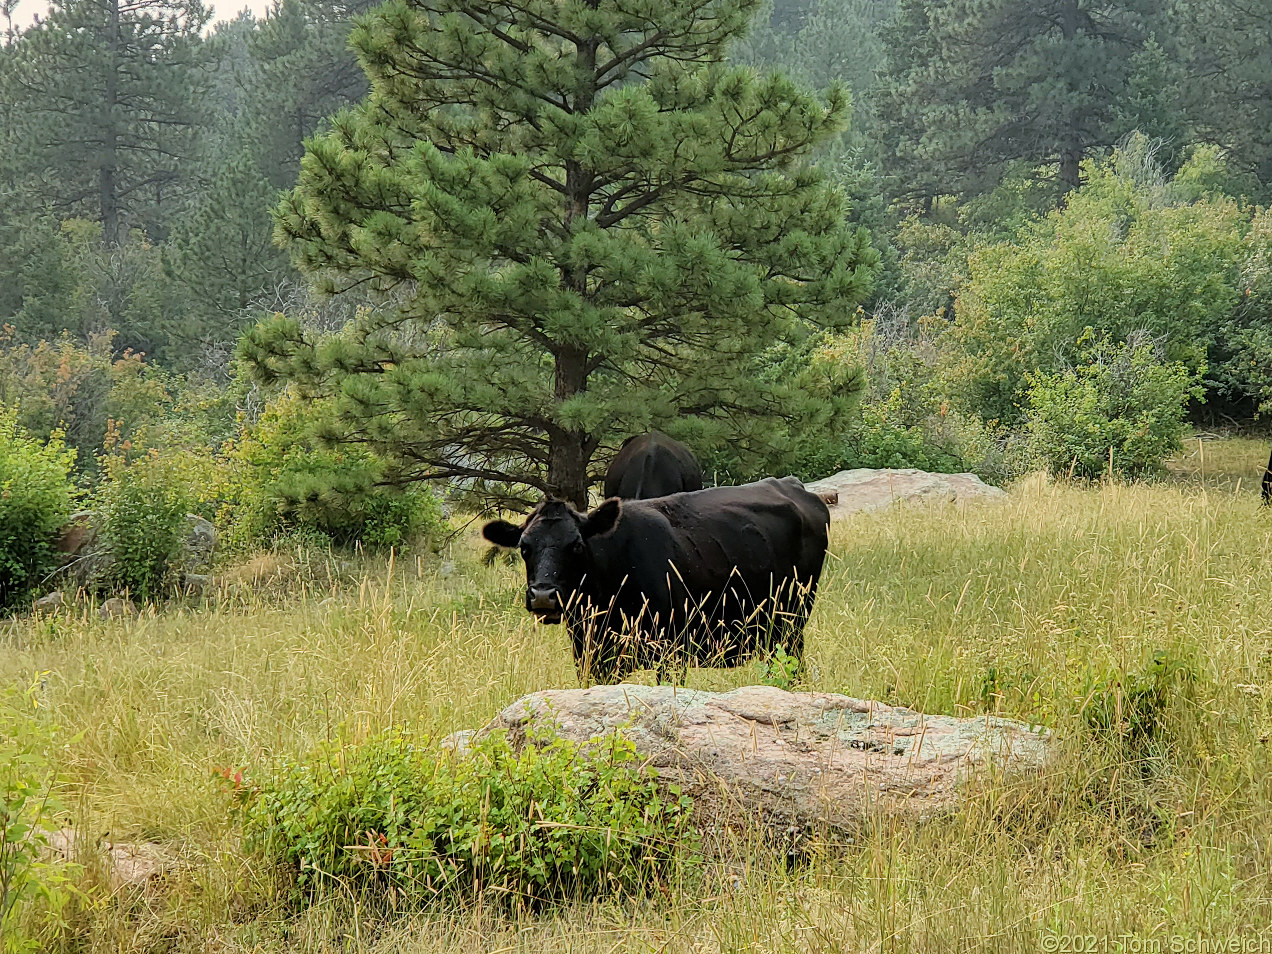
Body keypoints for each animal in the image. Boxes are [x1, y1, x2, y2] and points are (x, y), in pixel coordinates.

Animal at [480, 480, 829, 681]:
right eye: (524, 547)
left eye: (576, 545)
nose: (543, 596)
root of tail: (790, 484)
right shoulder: (591, 657)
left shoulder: (673, 650)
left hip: (790, 626)